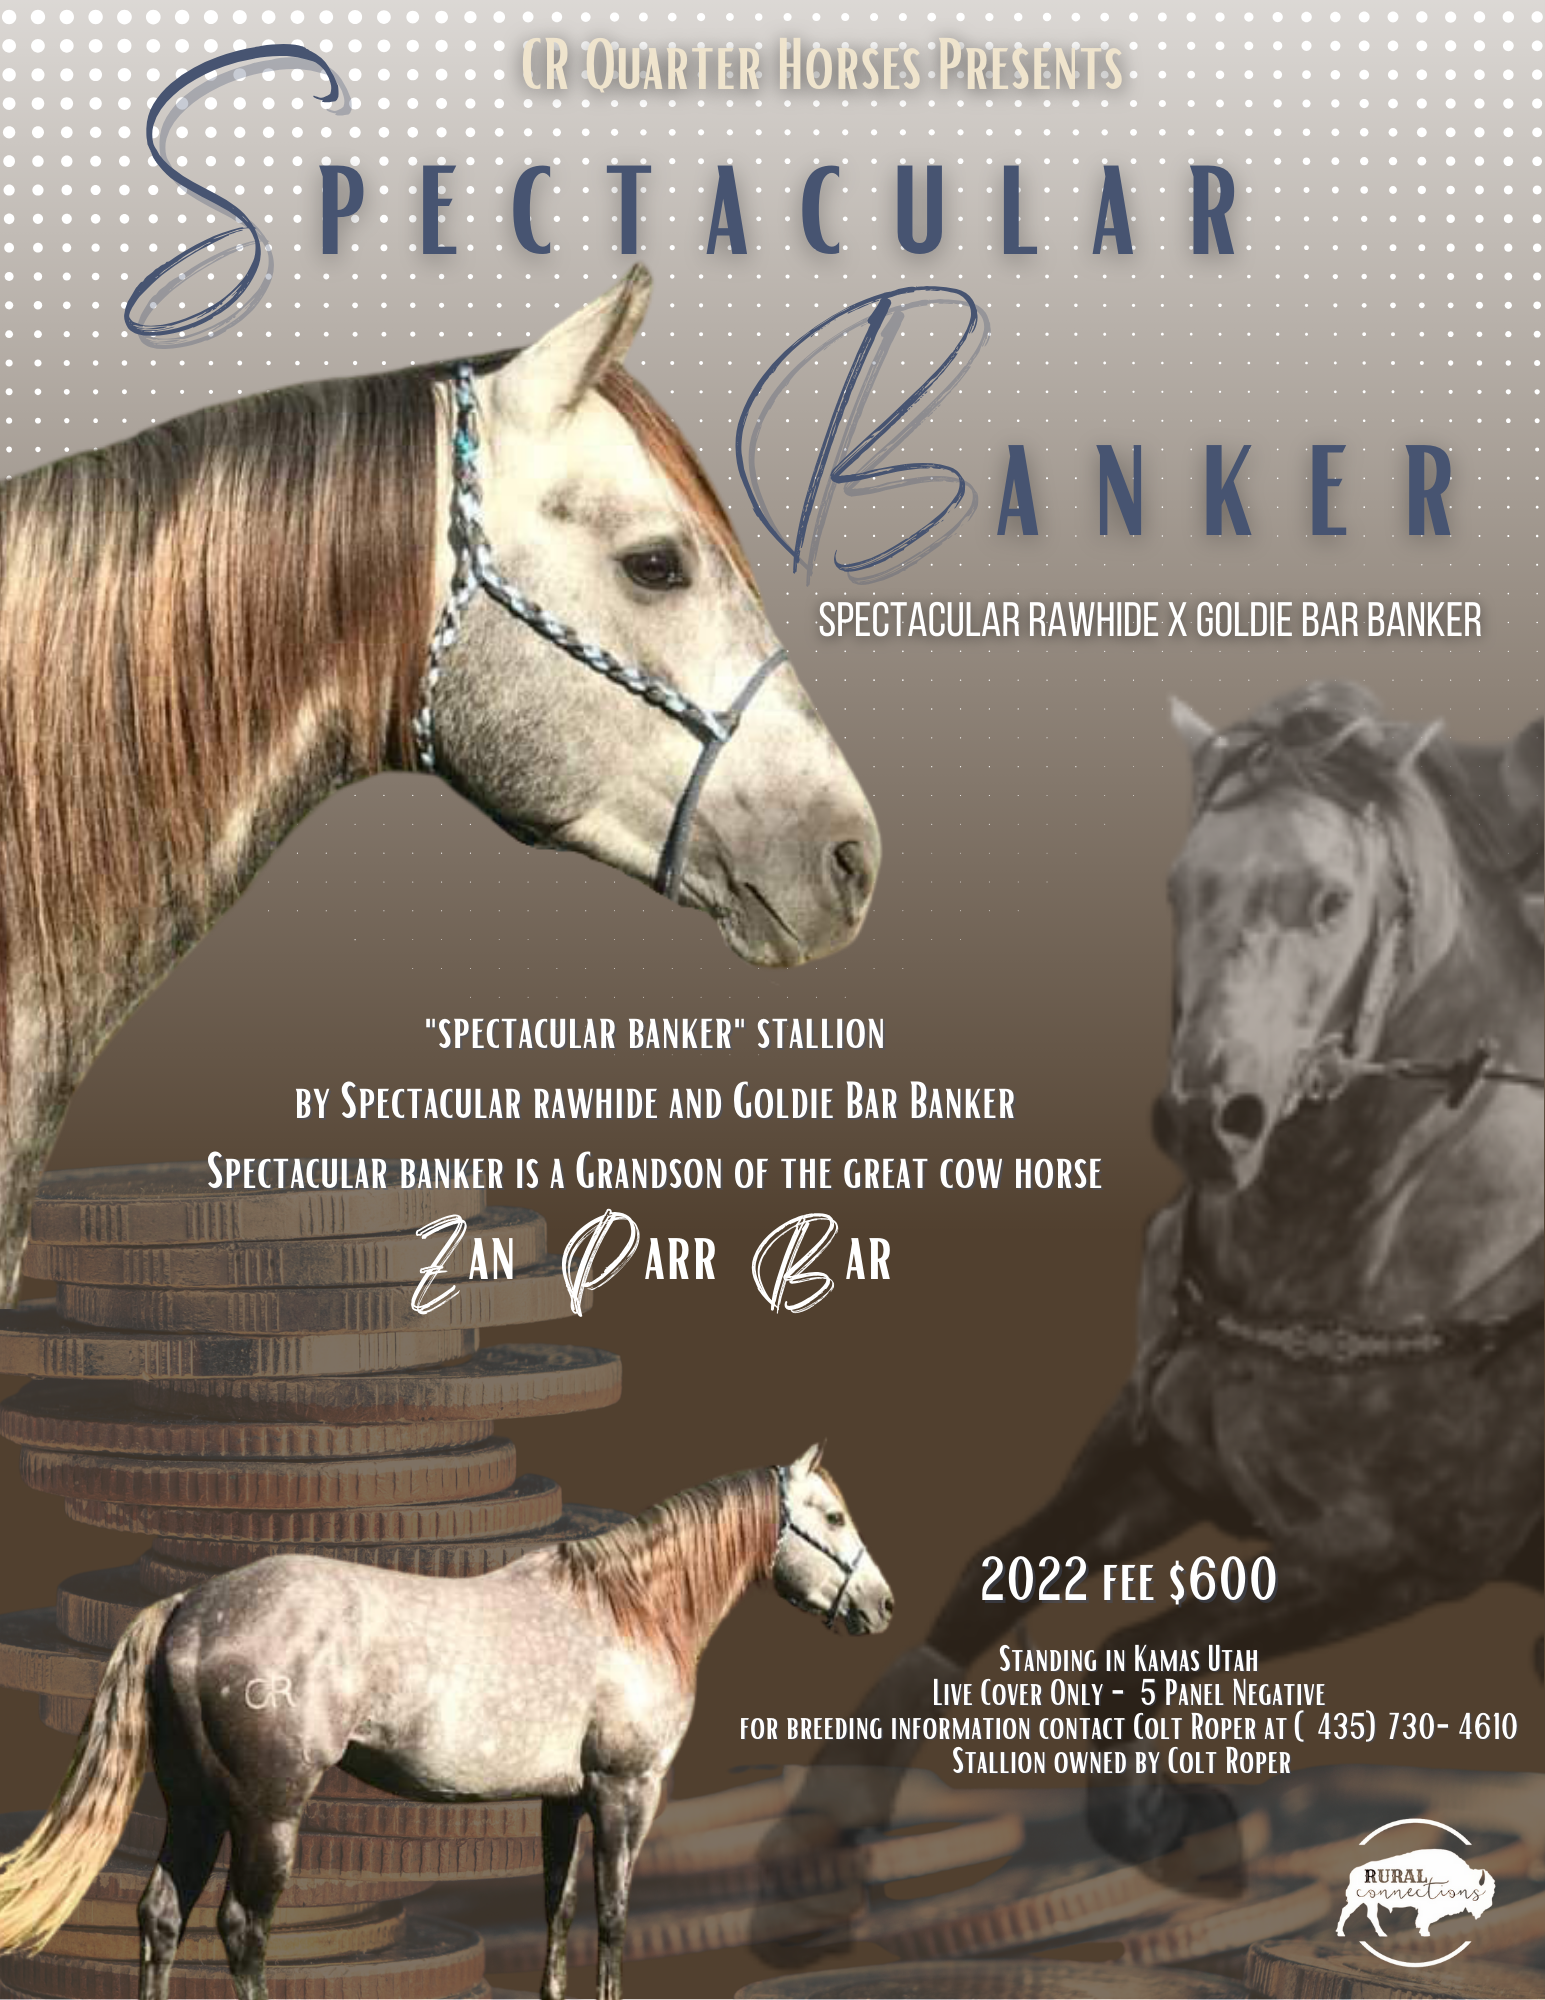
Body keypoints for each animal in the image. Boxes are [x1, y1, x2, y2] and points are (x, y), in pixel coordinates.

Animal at [0, 1444, 892, 1999]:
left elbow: (559, 1910)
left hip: (193, 1805)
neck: (627, 1610)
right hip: (267, 1813)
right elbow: (612, 1917)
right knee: (243, 1929)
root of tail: (189, 1607)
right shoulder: (625, 1791)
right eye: (832, 1517)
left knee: (160, 1916)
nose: (882, 1606)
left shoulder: (563, 1798)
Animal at [773, 684, 1542, 1877]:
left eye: (1332, 901)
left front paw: (1165, 1821)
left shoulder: (1393, 1560)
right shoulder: (1156, 1462)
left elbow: (1137, 1654)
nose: (1204, 1117)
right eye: (1181, 887)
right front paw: (825, 1824)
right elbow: (986, 1579)